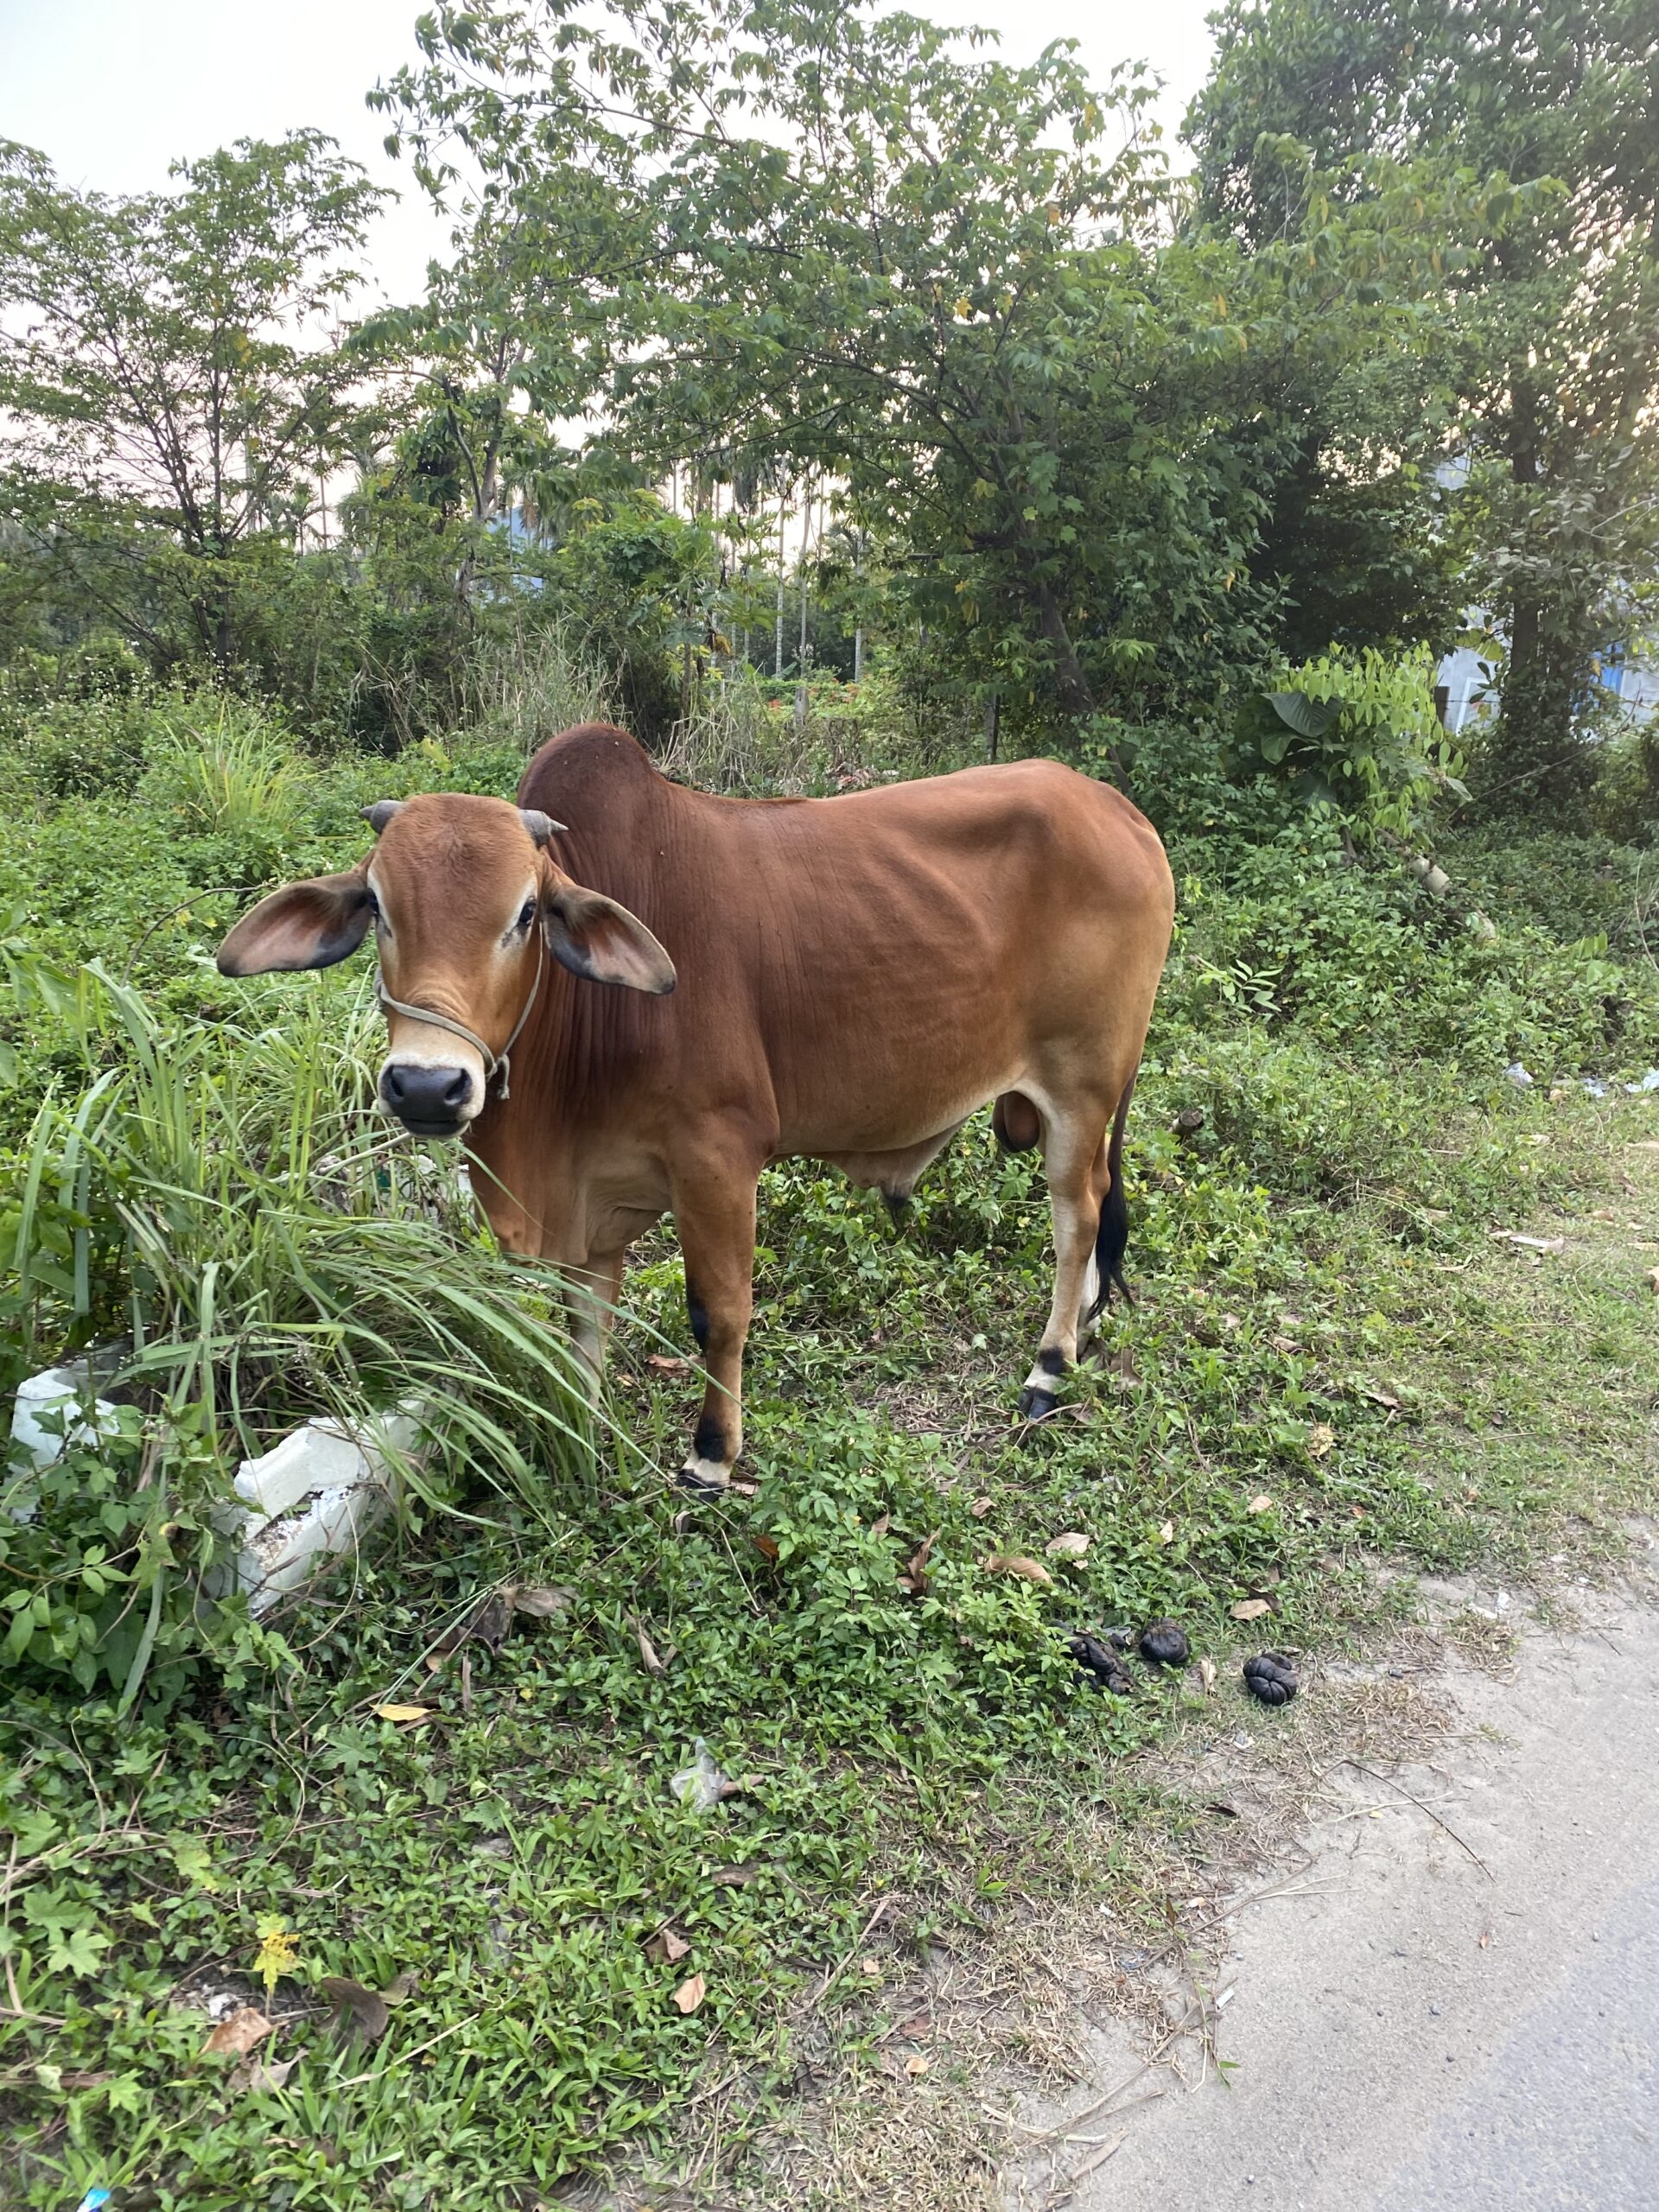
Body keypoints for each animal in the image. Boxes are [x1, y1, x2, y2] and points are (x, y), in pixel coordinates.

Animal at [217, 722, 1175, 1495]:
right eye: (378, 906)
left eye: (525, 914)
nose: (426, 1085)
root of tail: (1118, 810)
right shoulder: (593, 1197)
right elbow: (582, 1321)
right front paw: (584, 1428)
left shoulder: (717, 1158)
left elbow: (720, 1312)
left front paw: (712, 1454)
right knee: (1094, 1217)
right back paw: (1085, 1324)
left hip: (1082, 1084)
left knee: (1077, 1214)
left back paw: (1049, 1368)